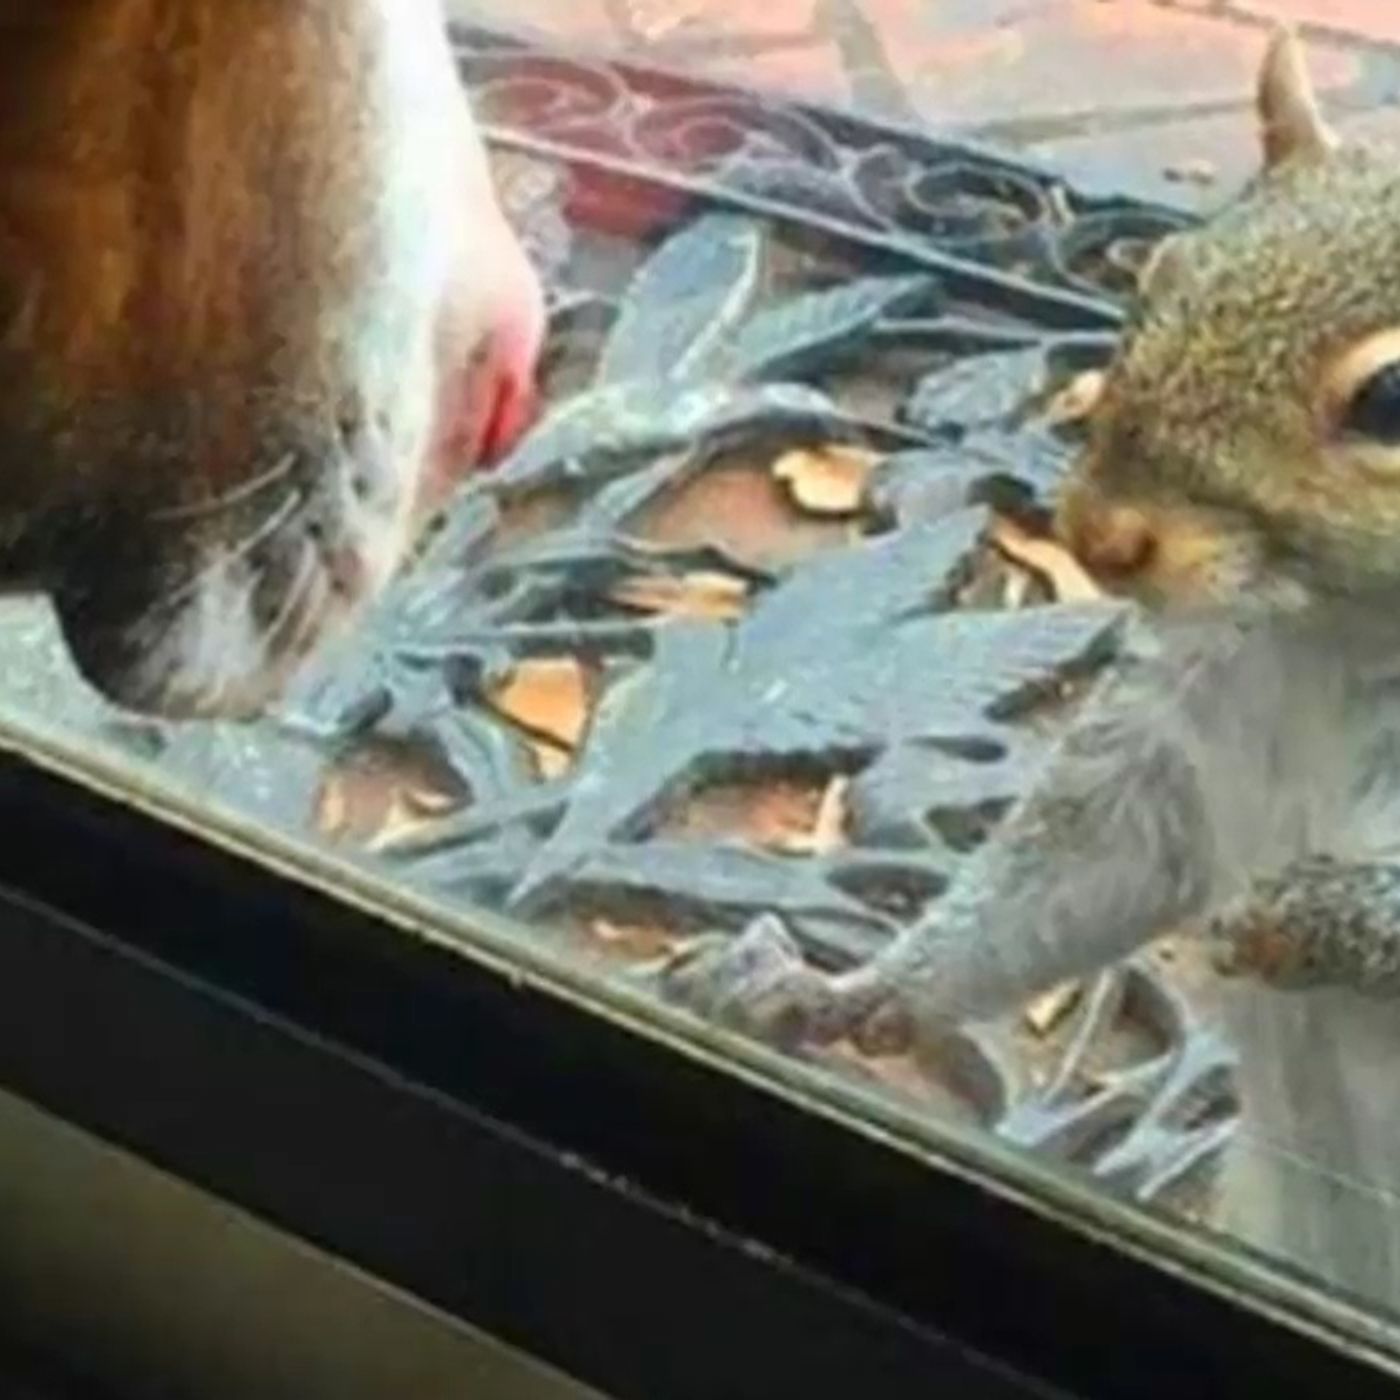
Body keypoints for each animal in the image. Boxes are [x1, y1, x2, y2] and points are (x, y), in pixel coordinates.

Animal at [659, 28, 1400, 1049]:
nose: (1096, 535)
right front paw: (844, 992)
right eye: (1161, 274)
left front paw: (1291, 912)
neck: (1340, 635)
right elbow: (1081, 868)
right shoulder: (1185, 721)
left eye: (1393, 398)